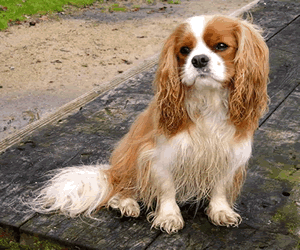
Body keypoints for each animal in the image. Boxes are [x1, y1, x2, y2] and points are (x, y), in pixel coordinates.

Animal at [30, 15, 270, 234]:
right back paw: (126, 204)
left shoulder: (228, 152)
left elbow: (220, 186)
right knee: (120, 189)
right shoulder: (158, 154)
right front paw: (169, 216)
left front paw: (220, 211)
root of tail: (111, 171)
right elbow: (166, 188)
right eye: (184, 50)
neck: (207, 100)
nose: (199, 60)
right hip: (130, 158)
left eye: (221, 46)